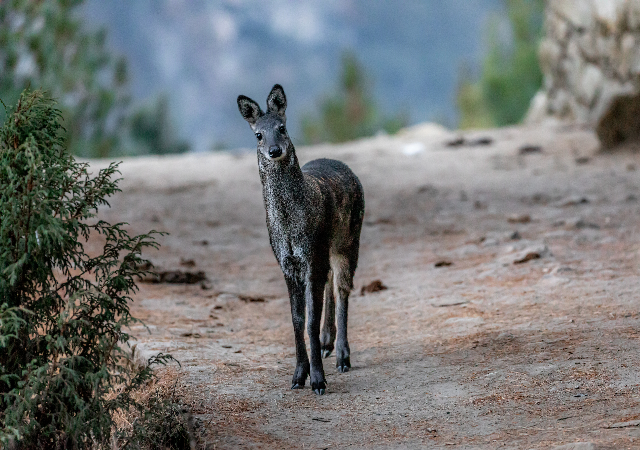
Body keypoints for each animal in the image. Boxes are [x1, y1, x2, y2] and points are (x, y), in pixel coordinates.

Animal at [236, 83, 364, 394]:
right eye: (258, 134)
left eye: (282, 127)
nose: (274, 150)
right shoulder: (288, 262)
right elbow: (296, 319)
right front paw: (298, 375)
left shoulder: (311, 255)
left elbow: (309, 320)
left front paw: (318, 380)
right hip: (326, 247)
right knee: (331, 281)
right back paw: (328, 343)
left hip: (348, 239)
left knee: (343, 287)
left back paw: (342, 356)